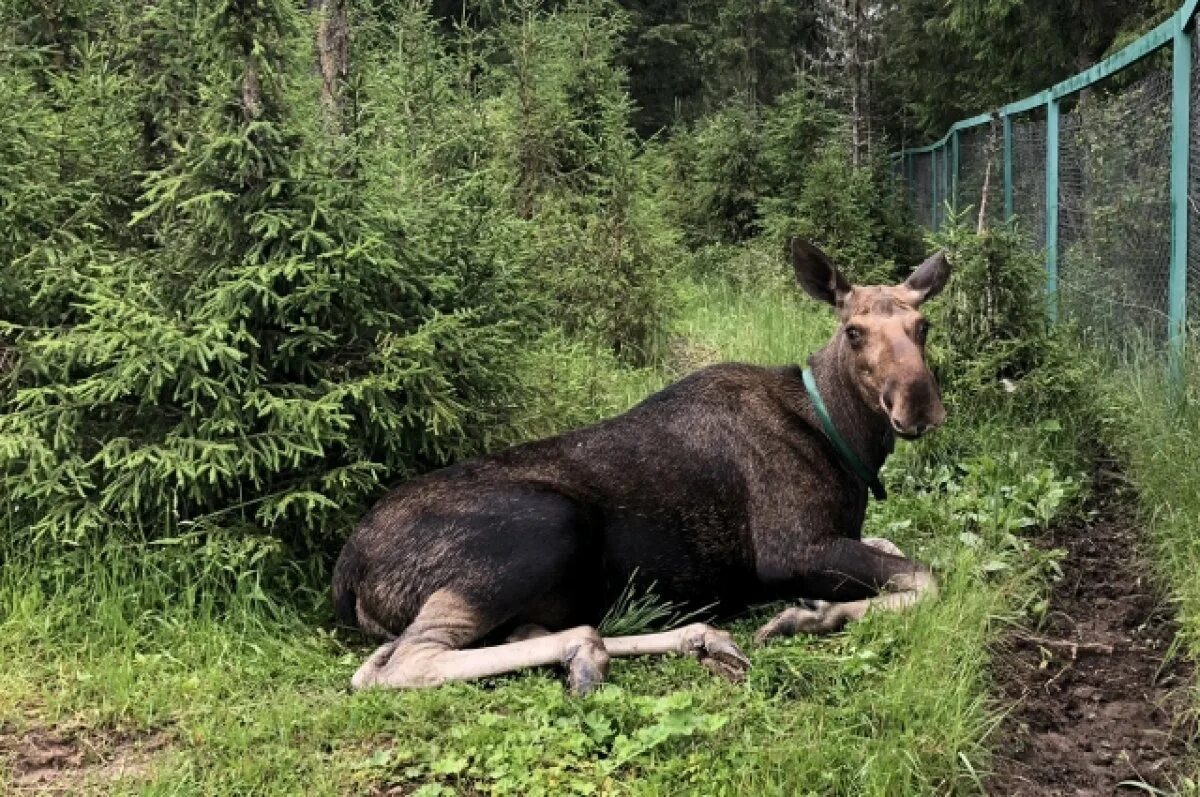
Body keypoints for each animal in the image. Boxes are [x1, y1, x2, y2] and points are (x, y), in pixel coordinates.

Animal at [333, 240, 950, 696]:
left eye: (923, 327)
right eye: (854, 331)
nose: (918, 406)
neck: (845, 446)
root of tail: (349, 567)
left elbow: (895, 549)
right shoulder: (790, 549)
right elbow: (928, 576)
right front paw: (808, 615)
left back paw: (689, 641)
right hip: (543, 526)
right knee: (397, 664)